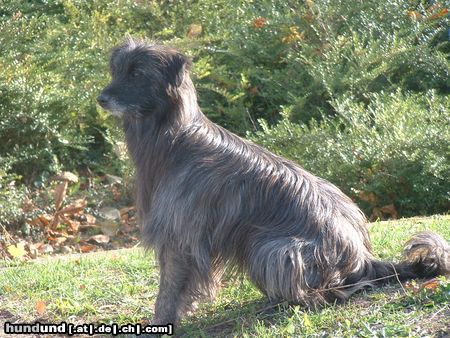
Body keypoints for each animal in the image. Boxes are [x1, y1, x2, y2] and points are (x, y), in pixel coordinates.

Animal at [96, 37, 448, 330]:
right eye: (117, 70)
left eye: (137, 74)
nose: (101, 99)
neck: (175, 139)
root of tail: (363, 258)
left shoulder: (181, 237)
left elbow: (169, 288)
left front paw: (162, 321)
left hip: (274, 249)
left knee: (331, 291)